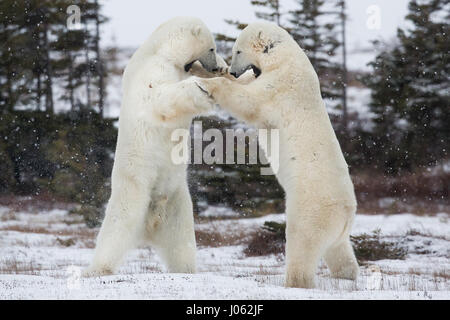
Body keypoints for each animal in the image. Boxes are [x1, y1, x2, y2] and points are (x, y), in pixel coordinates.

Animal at [83, 16, 225, 278]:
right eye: (211, 48)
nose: (214, 66)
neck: (161, 50)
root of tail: (151, 222)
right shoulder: (153, 70)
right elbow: (158, 96)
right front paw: (201, 89)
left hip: (178, 204)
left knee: (182, 244)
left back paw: (187, 270)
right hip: (134, 192)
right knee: (116, 230)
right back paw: (97, 269)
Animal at [197, 21, 358, 288]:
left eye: (238, 51)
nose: (233, 71)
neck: (283, 57)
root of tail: (346, 215)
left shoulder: (281, 85)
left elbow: (248, 100)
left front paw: (205, 83)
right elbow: (247, 86)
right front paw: (212, 71)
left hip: (310, 209)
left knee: (301, 242)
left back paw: (295, 281)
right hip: (338, 233)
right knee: (340, 252)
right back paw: (347, 276)